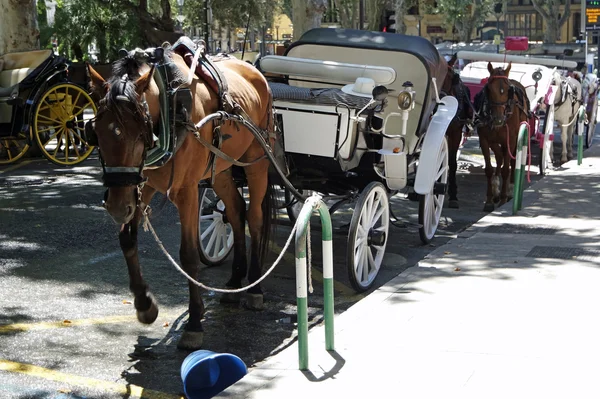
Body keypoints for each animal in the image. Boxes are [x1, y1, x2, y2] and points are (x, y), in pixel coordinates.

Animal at [85, 48, 276, 352]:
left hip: (256, 161)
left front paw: (194, 323)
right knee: (235, 212)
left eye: (139, 133)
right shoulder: (142, 185)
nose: (115, 207)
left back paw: (255, 288)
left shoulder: (186, 191)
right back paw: (235, 282)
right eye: (97, 133)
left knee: (255, 218)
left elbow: (188, 255)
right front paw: (144, 304)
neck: (171, 106)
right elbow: (127, 239)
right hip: (221, 169)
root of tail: (256, 71)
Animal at [474, 61, 528, 212]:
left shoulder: (510, 140)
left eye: (508, 90)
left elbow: (506, 169)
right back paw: (496, 189)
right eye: (489, 89)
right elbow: (489, 169)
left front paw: (504, 198)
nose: (498, 119)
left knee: (510, 161)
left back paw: (509, 190)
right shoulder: (484, 140)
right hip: (495, 142)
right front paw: (489, 200)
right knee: (499, 157)